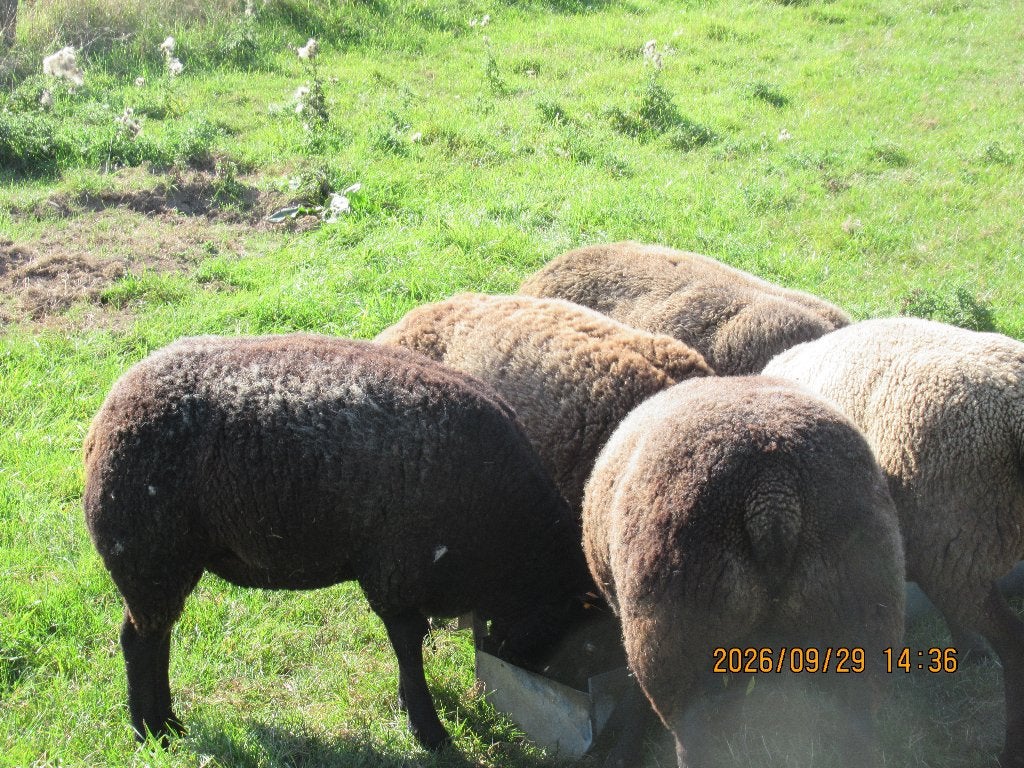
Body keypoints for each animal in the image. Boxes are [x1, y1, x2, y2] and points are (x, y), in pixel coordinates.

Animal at [83, 333, 594, 751]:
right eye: (561, 618)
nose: (518, 665)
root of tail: (108, 412)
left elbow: (410, 647)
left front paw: (412, 709)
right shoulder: (395, 575)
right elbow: (409, 646)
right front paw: (429, 731)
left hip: (164, 563)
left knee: (154, 638)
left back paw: (167, 724)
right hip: (149, 557)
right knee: (139, 642)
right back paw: (151, 731)